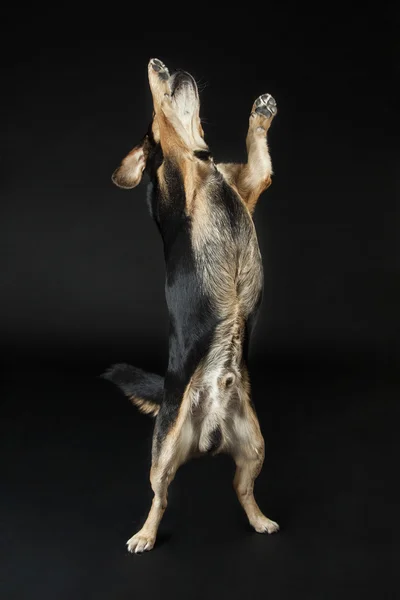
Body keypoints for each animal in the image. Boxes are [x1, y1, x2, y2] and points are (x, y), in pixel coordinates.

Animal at [103, 57, 278, 552]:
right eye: (158, 80)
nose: (160, 61)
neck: (202, 168)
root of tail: (208, 436)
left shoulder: (250, 183)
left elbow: (256, 154)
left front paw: (261, 113)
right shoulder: (183, 184)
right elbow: (174, 148)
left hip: (255, 444)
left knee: (242, 488)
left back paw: (260, 521)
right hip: (163, 452)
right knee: (159, 498)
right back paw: (144, 534)